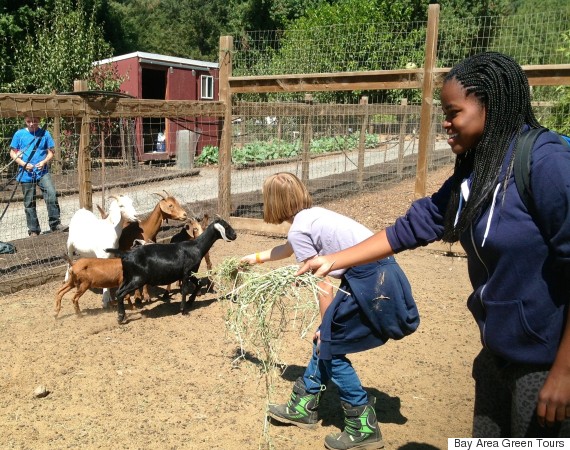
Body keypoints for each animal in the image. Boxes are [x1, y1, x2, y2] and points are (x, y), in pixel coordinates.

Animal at [107, 216, 236, 322]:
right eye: (226, 226)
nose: (235, 235)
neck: (196, 247)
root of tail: (126, 254)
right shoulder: (186, 273)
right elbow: (184, 290)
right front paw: (183, 310)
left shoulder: (191, 272)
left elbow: (199, 283)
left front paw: (190, 301)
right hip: (137, 279)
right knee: (121, 293)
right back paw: (121, 318)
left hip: (128, 277)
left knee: (119, 292)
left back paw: (121, 316)